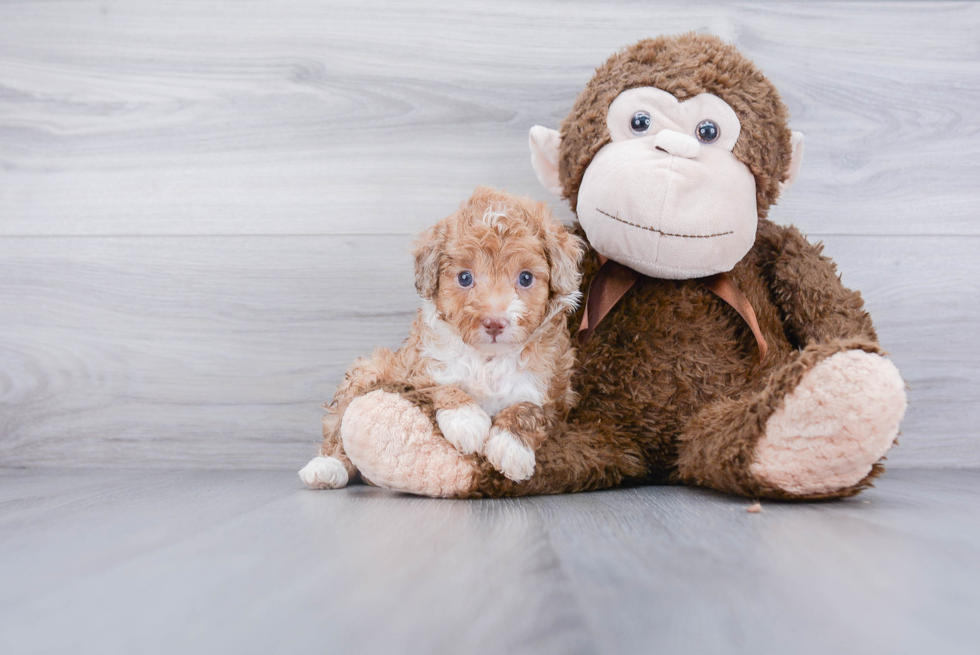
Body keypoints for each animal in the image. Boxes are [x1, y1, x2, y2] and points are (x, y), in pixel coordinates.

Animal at [300, 187, 580, 490]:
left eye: (526, 278)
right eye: (465, 278)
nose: (494, 322)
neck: (488, 358)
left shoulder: (555, 393)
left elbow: (529, 408)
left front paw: (510, 447)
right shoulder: (415, 368)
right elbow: (439, 384)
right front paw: (467, 421)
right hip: (368, 371)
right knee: (338, 424)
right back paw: (326, 467)